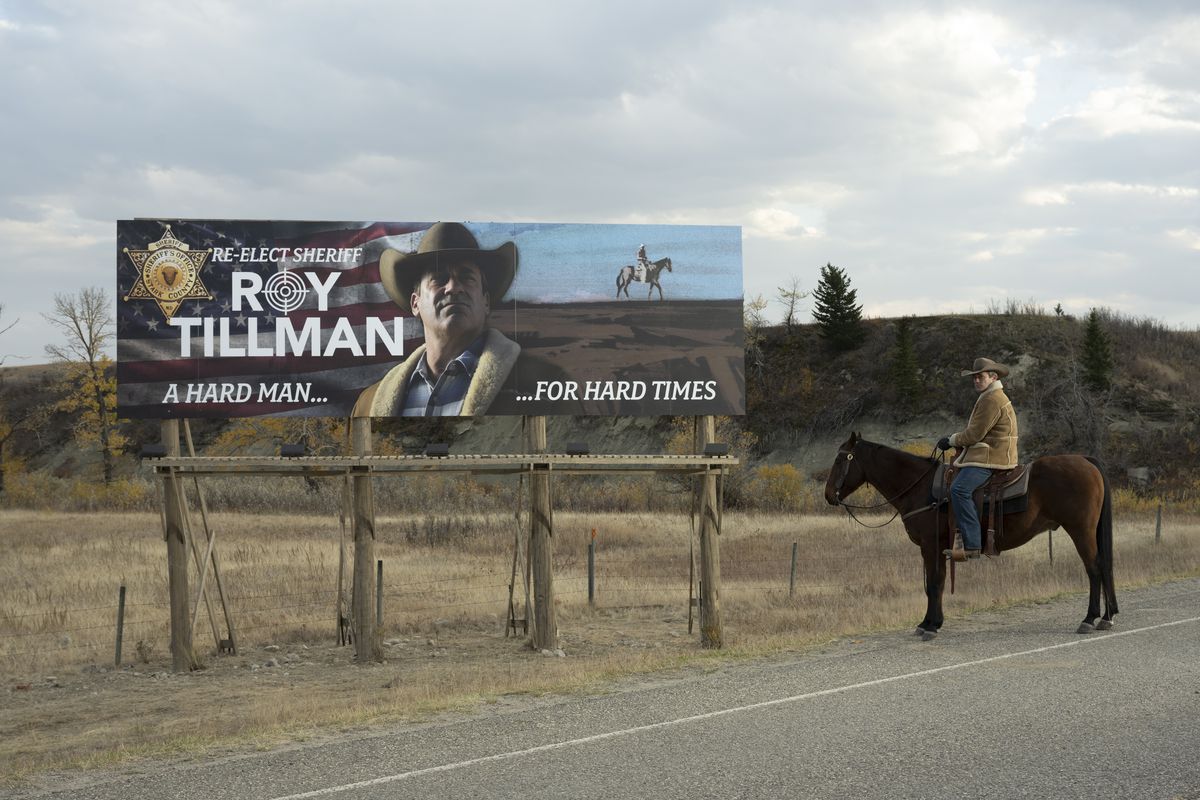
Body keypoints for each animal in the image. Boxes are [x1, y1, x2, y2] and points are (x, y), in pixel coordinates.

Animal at [825, 434, 1113, 642]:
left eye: (840, 460)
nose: (828, 495)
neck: (920, 488)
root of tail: (1085, 460)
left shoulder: (931, 547)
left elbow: (934, 584)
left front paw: (930, 626)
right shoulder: (937, 549)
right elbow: (938, 584)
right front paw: (931, 622)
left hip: (1080, 530)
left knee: (1094, 568)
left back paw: (1090, 619)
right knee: (1103, 567)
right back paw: (1106, 618)